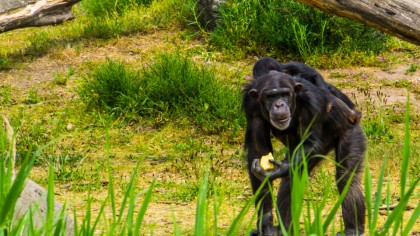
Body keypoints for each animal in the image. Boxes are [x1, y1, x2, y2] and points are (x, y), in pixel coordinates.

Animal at [243, 65, 368, 236]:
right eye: (270, 96)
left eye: (285, 94)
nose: (279, 104)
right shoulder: (251, 107)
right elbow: (258, 149)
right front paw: (265, 221)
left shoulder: (311, 102)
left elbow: (311, 142)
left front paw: (277, 170)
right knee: (291, 181)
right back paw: (283, 229)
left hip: (351, 132)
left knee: (346, 177)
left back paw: (352, 229)